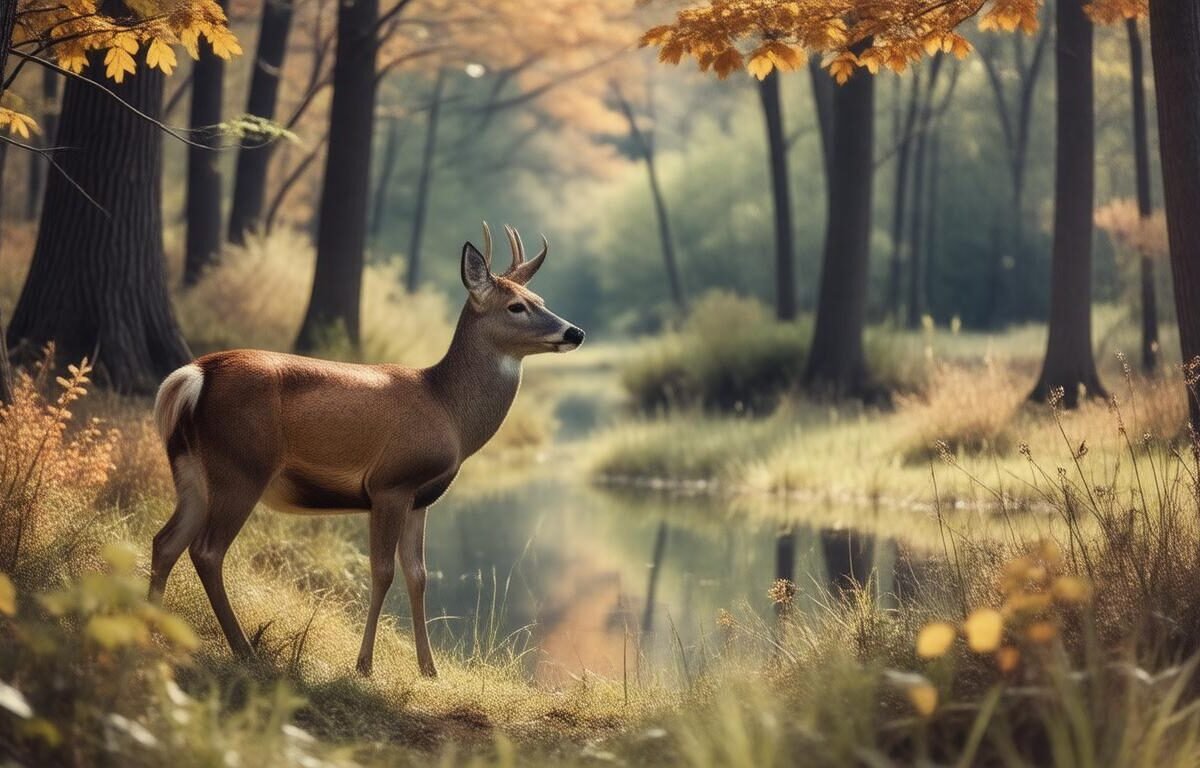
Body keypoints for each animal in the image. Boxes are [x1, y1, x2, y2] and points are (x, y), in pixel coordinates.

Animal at [148, 224, 584, 678]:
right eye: (517, 306)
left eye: (541, 300)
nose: (575, 332)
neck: (448, 409)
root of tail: (194, 375)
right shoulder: (391, 482)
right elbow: (382, 572)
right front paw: (364, 665)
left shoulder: (420, 498)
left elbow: (419, 575)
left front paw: (429, 669)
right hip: (241, 466)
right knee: (206, 550)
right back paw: (243, 649)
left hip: (191, 470)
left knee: (165, 541)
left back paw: (150, 629)